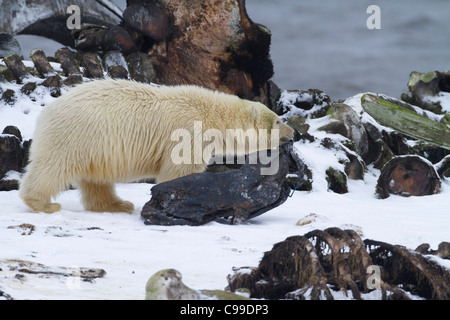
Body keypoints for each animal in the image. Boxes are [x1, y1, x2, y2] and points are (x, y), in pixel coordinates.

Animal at [20, 79, 296, 214]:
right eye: (278, 120)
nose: (294, 132)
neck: (210, 115)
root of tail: (46, 110)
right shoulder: (188, 133)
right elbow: (180, 170)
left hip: (95, 147)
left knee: (96, 180)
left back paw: (118, 205)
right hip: (76, 135)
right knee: (52, 166)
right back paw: (42, 203)